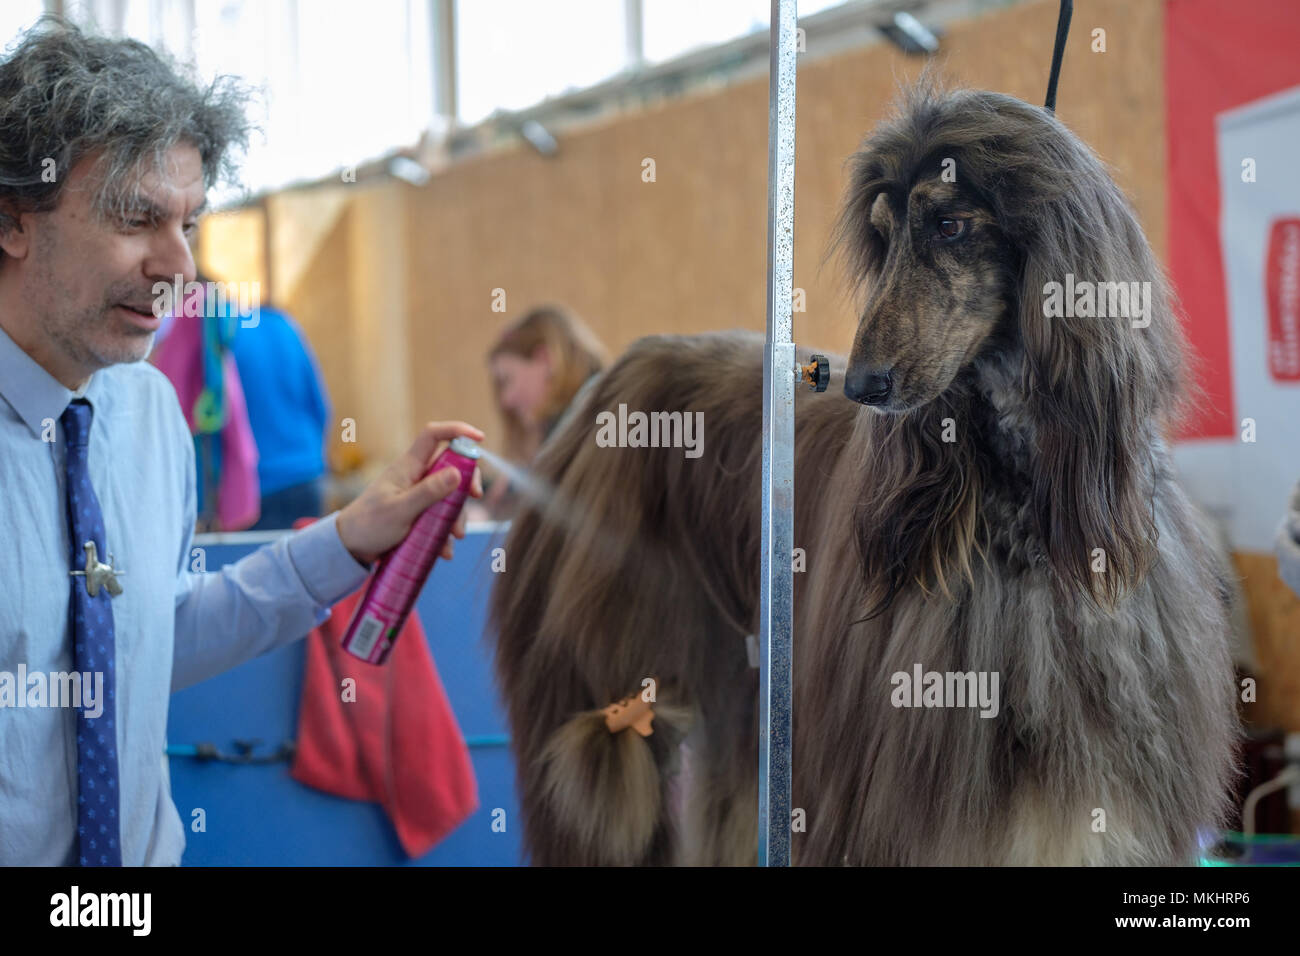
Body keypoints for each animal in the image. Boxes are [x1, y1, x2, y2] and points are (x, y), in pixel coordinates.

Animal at [486, 82, 1237, 868]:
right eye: (882, 236)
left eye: (950, 223)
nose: (862, 385)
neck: (1029, 507)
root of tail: (605, 386)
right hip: (605, 685)